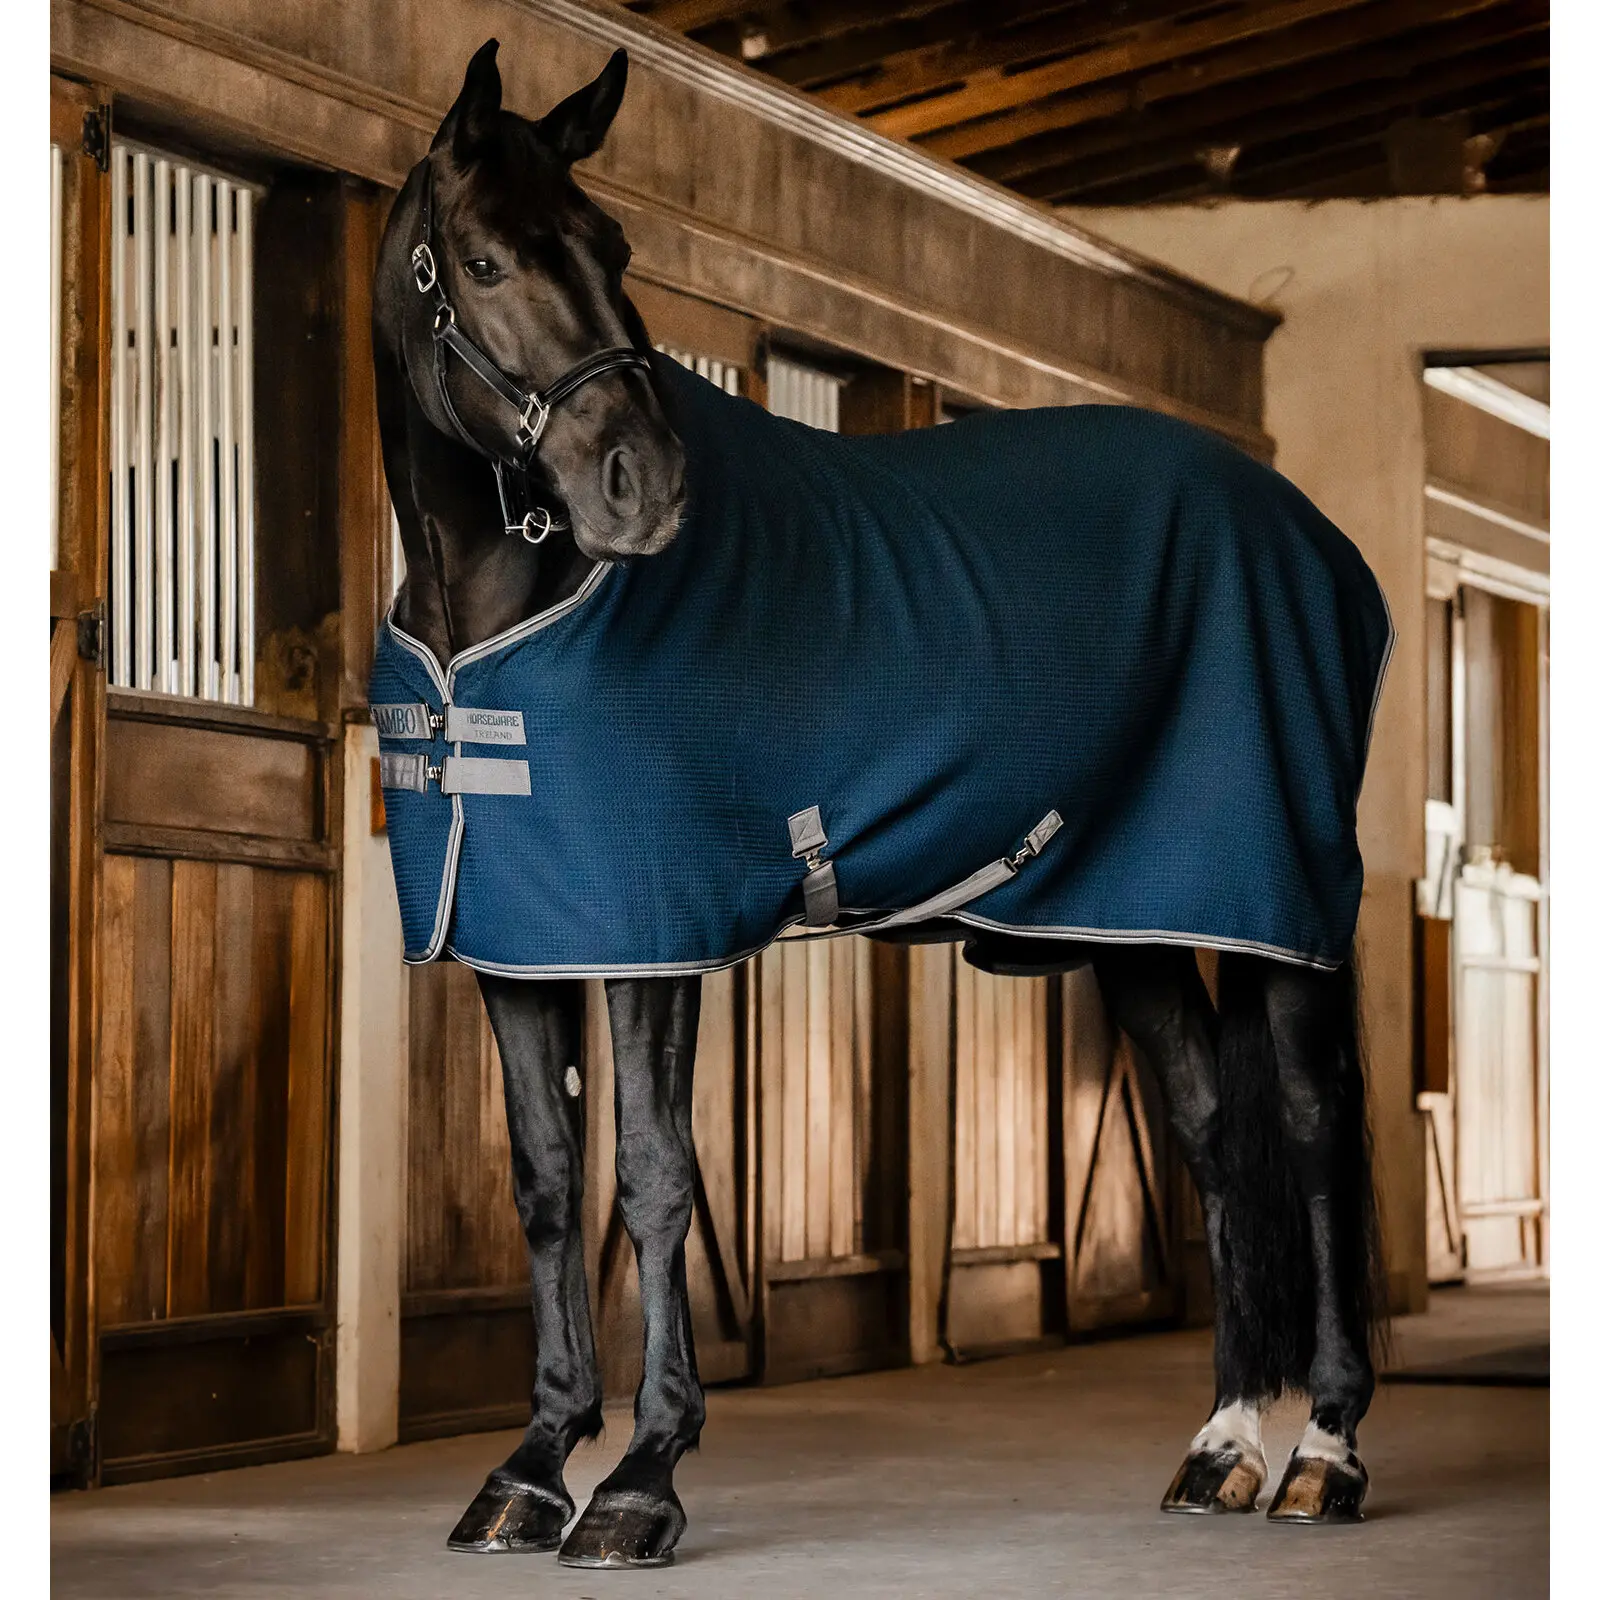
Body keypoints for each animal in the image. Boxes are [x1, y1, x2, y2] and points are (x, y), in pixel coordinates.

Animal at [370, 39, 1389, 1570]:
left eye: (614, 248)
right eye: (486, 260)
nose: (646, 490)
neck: (502, 607)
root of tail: (1306, 532)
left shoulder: (651, 934)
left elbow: (655, 1179)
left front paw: (640, 1480)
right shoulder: (521, 938)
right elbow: (548, 1184)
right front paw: (534, 1464)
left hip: (1276, 903)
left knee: (1317, 1136)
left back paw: (1323, 1449)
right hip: (1137, 919)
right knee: (1215, 1134)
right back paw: (1221, 1446)